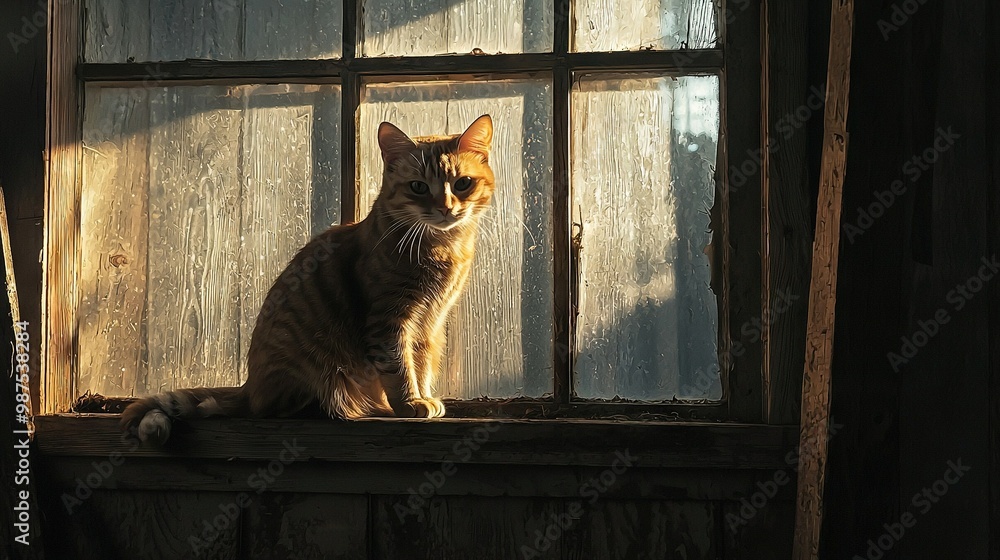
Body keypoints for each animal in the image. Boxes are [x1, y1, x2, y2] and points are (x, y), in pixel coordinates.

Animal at [121, 115, 496, 446]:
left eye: (462, 183)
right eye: (418, 187)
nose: (446, 208)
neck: (443, 248)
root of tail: (249, 387)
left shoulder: (429, 325)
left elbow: (420, 366)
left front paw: (423, 396)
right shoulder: (389, 321)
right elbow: (399, 368)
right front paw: (409, 404)